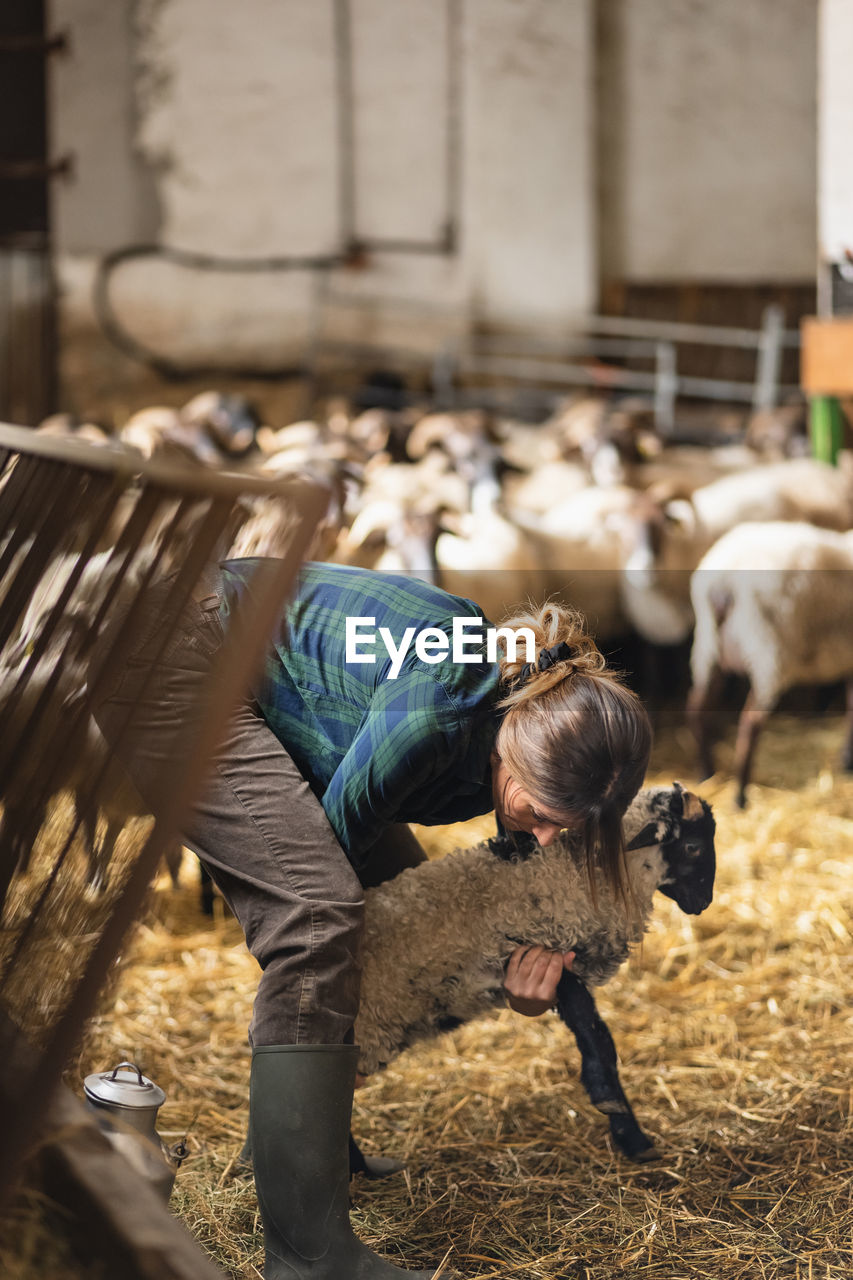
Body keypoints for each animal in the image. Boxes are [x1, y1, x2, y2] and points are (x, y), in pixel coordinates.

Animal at [348, 778, 712, 1162]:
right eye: (693, 846)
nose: (703, 903)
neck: (577, 874)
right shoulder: (548, 952)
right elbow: (596, 1034)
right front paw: (625, 1124)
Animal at [686, 522, 853, 803]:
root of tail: (724, 578)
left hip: (709, 648)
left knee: (697, 707)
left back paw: (705, 774)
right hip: (769, 652)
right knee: (750, 723)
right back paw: (740, 795)